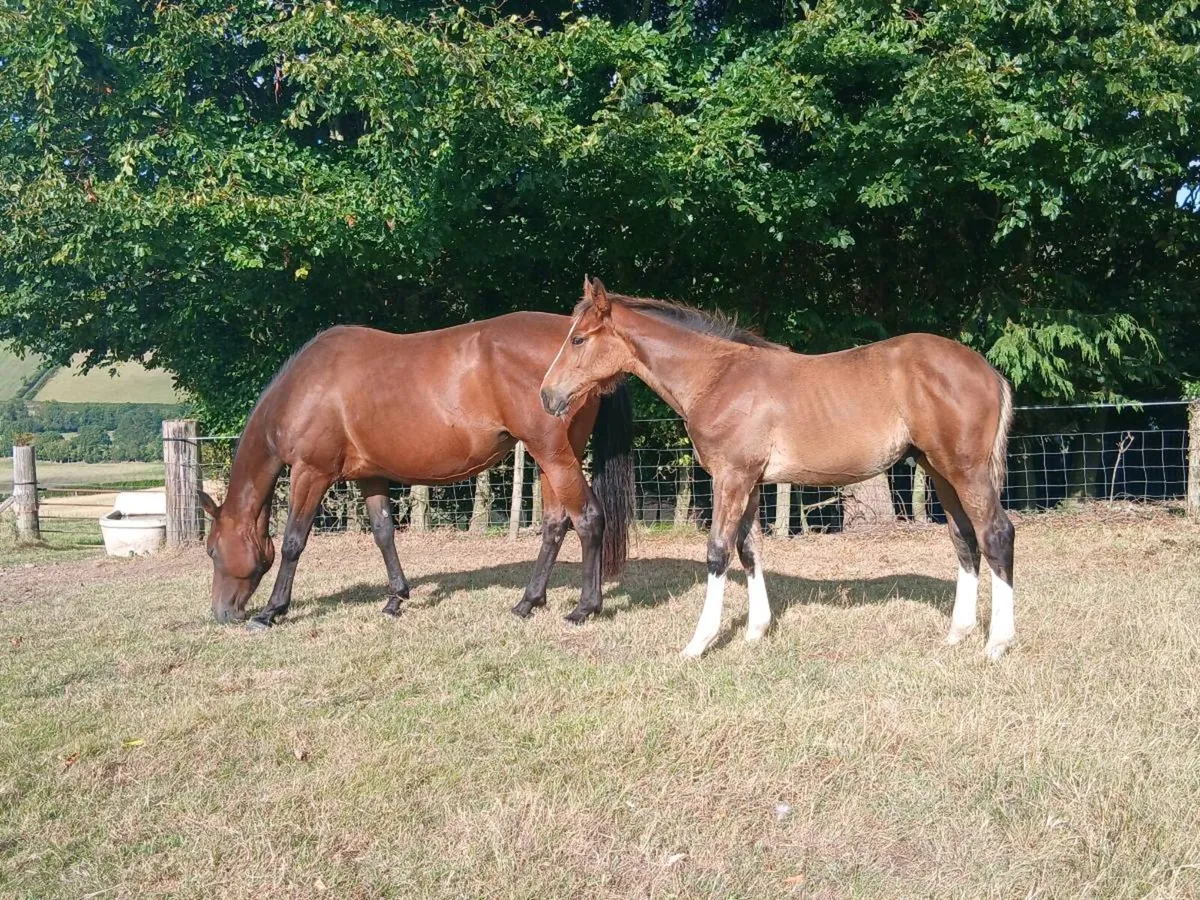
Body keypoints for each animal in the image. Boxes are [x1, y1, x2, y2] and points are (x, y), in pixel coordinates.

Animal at [198, 312, 634, 631]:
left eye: (211, 550)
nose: (223, 613)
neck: (308, 385)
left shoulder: (311, 472)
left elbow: (292, 541)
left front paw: (271, 611)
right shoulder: (370, 474)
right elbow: (383, 533)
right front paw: (395, 599)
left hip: (553, 455)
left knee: (588, 518)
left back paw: (585, 607)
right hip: (552, 457)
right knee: (555, 524)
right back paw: (527, 602)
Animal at [541, 277, 1016, 660]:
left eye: (578, 339)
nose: (547, 395)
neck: (716, 377)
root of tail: (989, 372)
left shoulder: (731, 478)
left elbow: (718, 551)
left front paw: (698, 643)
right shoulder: (750, 483)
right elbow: (749, 550)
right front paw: (756, 631)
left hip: (966, 469)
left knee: (996, 533)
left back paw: (997, 643)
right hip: (938, 470)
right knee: (964, 539)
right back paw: (958, 633)